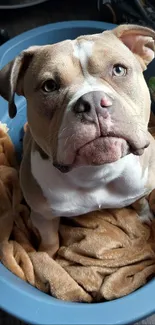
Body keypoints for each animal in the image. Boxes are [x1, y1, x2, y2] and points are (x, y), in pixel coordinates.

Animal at [0, 24, 155, 254]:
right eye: (49, 86)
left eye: (119, 70)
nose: (93, 102)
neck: (96, 173)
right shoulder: (42, 216)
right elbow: (50, 241)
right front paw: (46, 256)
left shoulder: (143, 184)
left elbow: (141, 201)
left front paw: (145, 216)